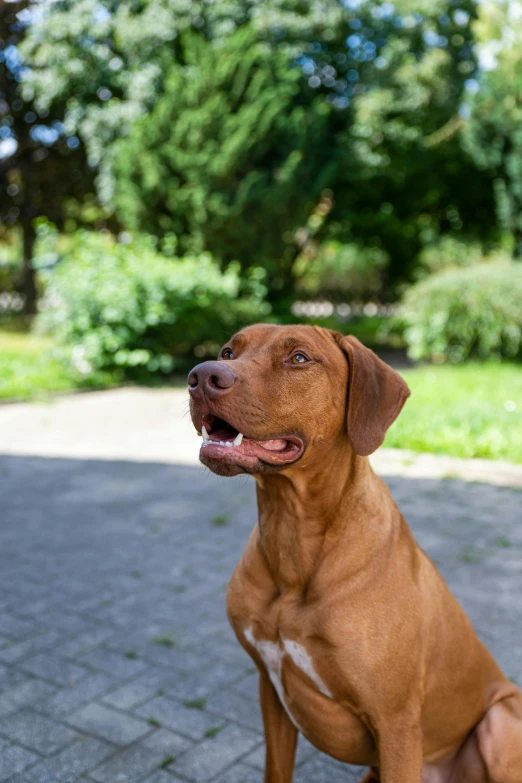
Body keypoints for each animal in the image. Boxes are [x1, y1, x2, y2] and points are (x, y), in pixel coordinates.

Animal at [188, 324, 520, 783]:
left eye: (298, 358)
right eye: (227, 351)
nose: (202, 376)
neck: (293, 535)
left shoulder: (396, 723)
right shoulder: (270, 691)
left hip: (501, 720)